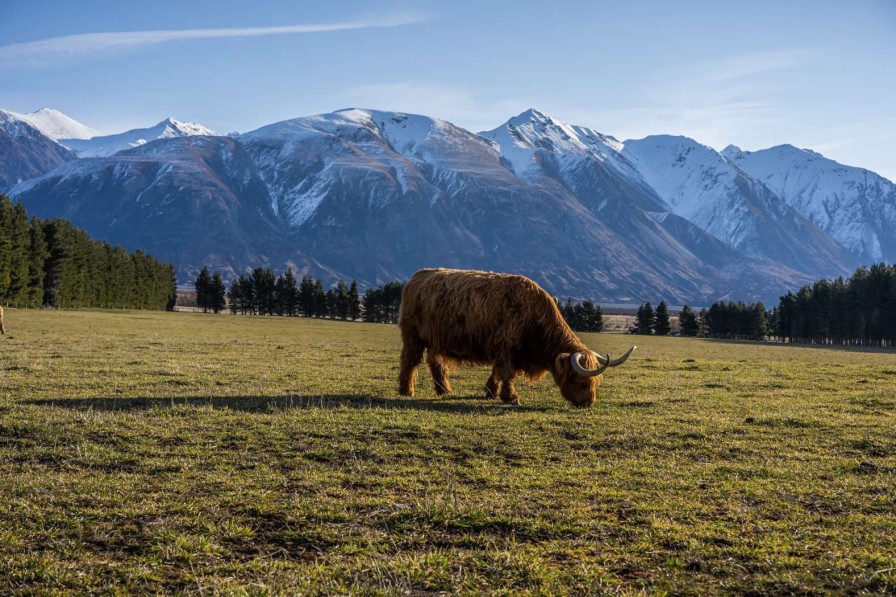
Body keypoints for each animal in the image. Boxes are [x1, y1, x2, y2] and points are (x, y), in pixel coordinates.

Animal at [400, 268, 636, 406]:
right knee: (410, 361)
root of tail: (418, 276)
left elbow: (496, 372)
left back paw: (444, 390)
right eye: (580, 379)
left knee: (435, 361)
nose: (588, 402)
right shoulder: (506, 347)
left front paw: (491, 392)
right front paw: (511, 397)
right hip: (413, 335)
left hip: (436, 339)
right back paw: (407, 391)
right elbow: (507, 373)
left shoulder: (501, 349)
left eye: (595, 381)